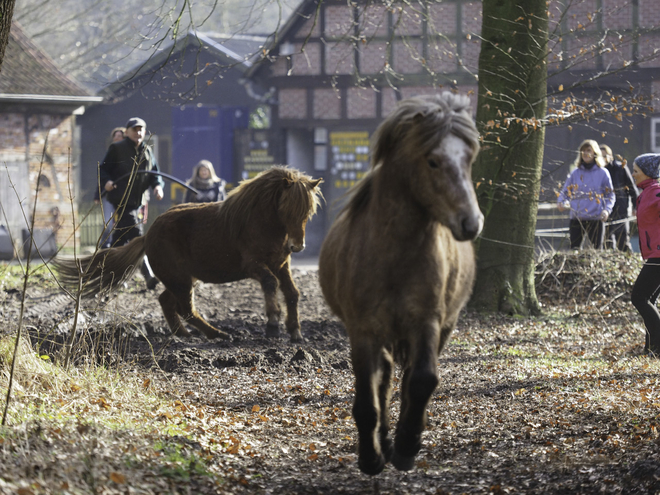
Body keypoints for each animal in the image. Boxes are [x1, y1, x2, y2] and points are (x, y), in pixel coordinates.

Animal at [56, 167, 322, 340]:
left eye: (308, 211)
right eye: (287, 209)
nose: (297, 246)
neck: (257, 221)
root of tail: (147, 236)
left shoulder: (281, 263)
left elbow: (292, 293)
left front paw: (295, 331)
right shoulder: (254, 265)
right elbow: (270, 283)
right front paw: (273, 323)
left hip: (181, 279)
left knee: (167, 302)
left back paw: (183, 334)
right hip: (180, 280)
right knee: (186, 309)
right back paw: (218, 334)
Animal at [318, 93, 482, 476]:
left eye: (469, 158)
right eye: (433, 161)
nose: (471, 222)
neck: (393, 254)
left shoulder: (427, 322)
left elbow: (421, 381)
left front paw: (406, 447)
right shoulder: (363, 330)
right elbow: (368, 397)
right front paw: (371, 457)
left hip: (440, 327)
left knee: (405, 378)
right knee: (385, 379)